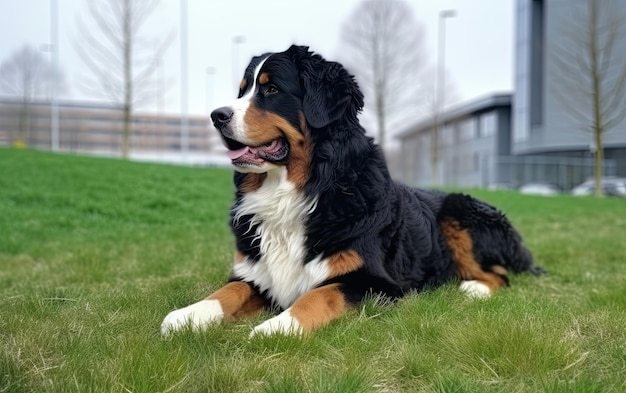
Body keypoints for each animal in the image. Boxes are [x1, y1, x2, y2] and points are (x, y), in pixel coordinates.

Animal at [160, 44, 540, 336]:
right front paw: (188, 315)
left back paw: (473, 288)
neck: (300, 192)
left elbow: (320, 294)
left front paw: (279, 327)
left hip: (459, 209)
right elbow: (230, 289)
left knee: (501, 274)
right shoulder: (257, 273)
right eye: (242, 91)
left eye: (271, 90)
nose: (216, 116)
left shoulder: (376, 283)